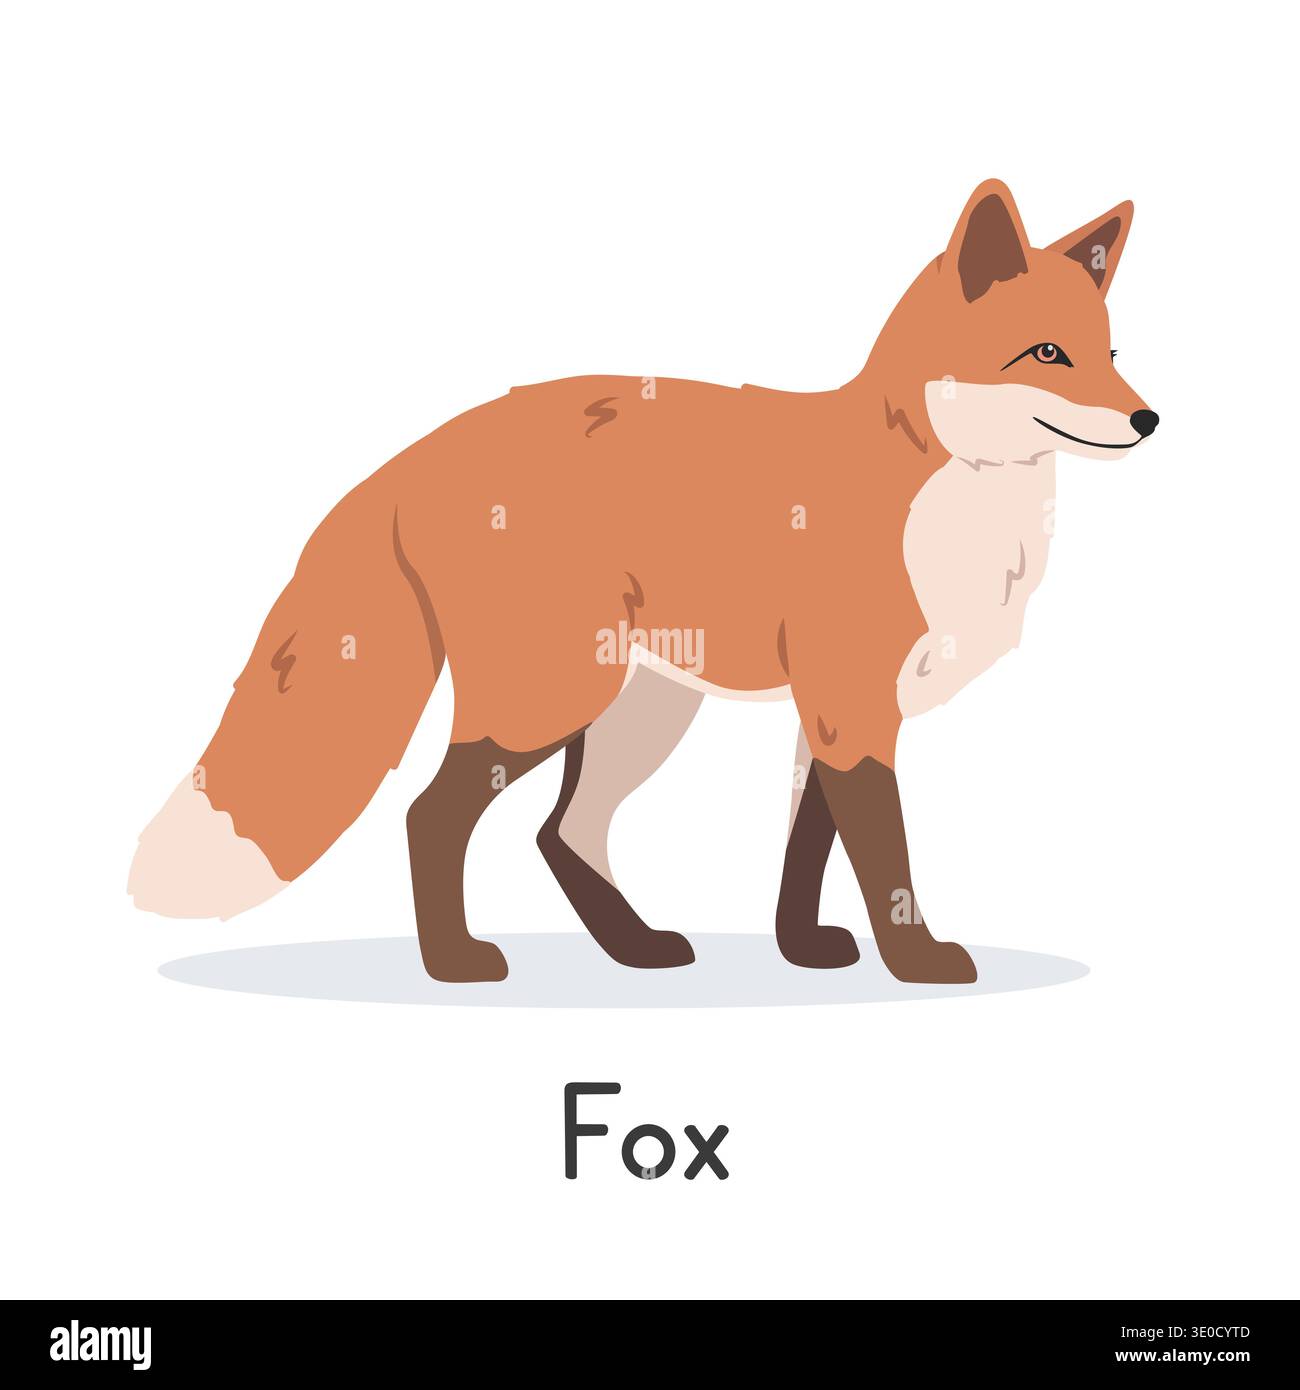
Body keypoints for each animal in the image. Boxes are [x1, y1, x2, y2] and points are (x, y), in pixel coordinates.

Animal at [129, 179, 1158, 985]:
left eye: (1110, 355)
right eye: (1048, 355)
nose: (1149, 419)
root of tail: (416, 455)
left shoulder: (832, 712)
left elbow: (807, 846)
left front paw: (802, 950)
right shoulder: (852, 701)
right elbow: (886, 858)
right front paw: (917, 961)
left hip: (640, 708)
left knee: (561, 833)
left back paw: (633, 948)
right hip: (551, 697)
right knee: (434, 815)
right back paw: (455, 962)